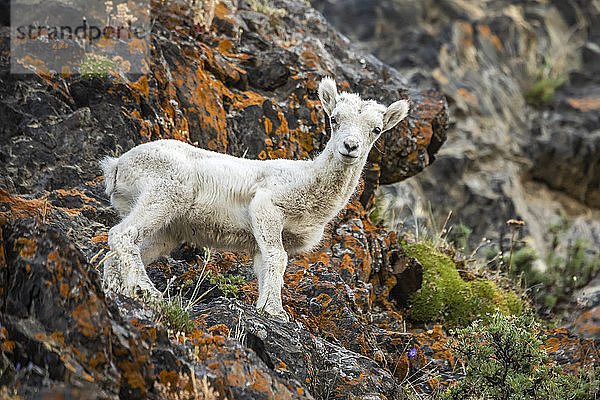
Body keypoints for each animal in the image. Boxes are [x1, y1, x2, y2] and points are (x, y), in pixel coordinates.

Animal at [103, 79, 410, 322]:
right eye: (334, 119)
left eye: (377, 129)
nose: (350, 147)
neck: (310, 184)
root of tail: (117, 165)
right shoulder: (266, 209)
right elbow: (278, 258)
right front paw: (277, 312)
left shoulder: (264, 238)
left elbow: (266, 266)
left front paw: (266, 308)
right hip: (165, 194)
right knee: (122, 234)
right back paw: (149, 292)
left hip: (167, 231)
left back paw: (119, 291)